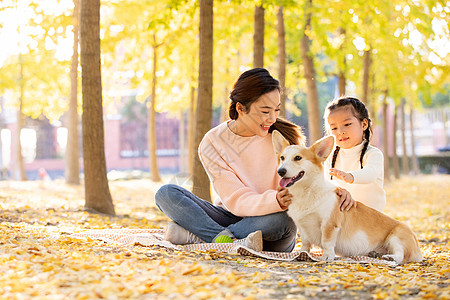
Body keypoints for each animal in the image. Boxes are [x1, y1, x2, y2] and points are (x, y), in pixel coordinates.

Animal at [272, 132, 424, 264]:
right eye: (282, 158)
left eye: (298, 158)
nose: (280, 171)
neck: (306, 192)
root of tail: (418, 248)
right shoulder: (303, 227)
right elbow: (306, 243)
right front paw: (302, 254)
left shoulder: (329, 224)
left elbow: (327, 242)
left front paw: (327, 256)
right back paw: (374, 253)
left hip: (396, 236)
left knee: (401, 255)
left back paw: (391, 258)